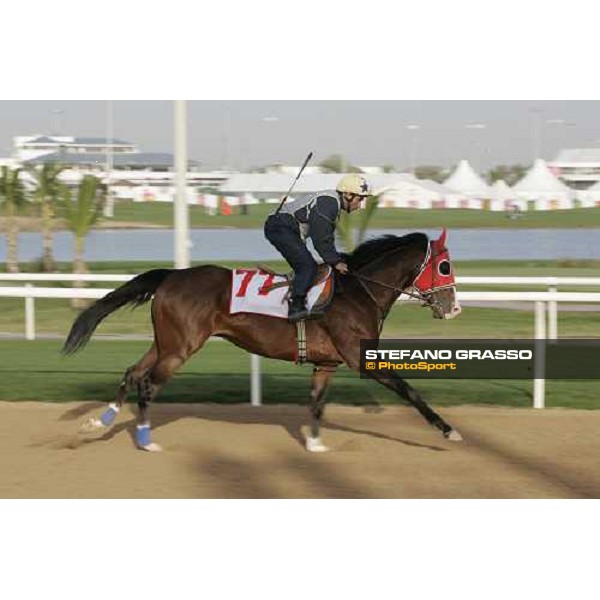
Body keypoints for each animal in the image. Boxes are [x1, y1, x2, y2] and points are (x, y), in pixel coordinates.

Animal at [62, 227, 464, 452]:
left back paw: (100, 422)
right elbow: (409, 391)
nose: (454, 308)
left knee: (133, 372)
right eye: (445, 267)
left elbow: (317, 403)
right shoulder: (359, 357)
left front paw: (315, 444)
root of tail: (172, 275)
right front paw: (449, 431)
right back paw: (146, 440)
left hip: (166, 342)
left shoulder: (326, 363)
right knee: (147, 384)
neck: (358, 291)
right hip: (181, 347)